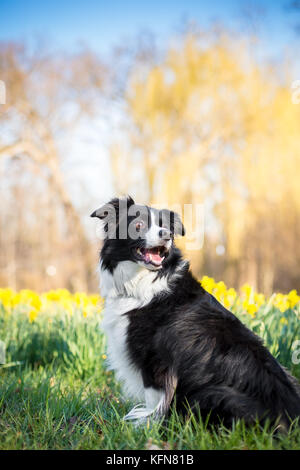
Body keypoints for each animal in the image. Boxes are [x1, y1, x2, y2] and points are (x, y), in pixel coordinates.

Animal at [91, 196, 300, 428]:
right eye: (139, 224)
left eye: (165, 226)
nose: (167, 235)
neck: (143, 280)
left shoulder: (153, 356)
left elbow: (154, 396)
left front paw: (147, 425)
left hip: (215, 394)